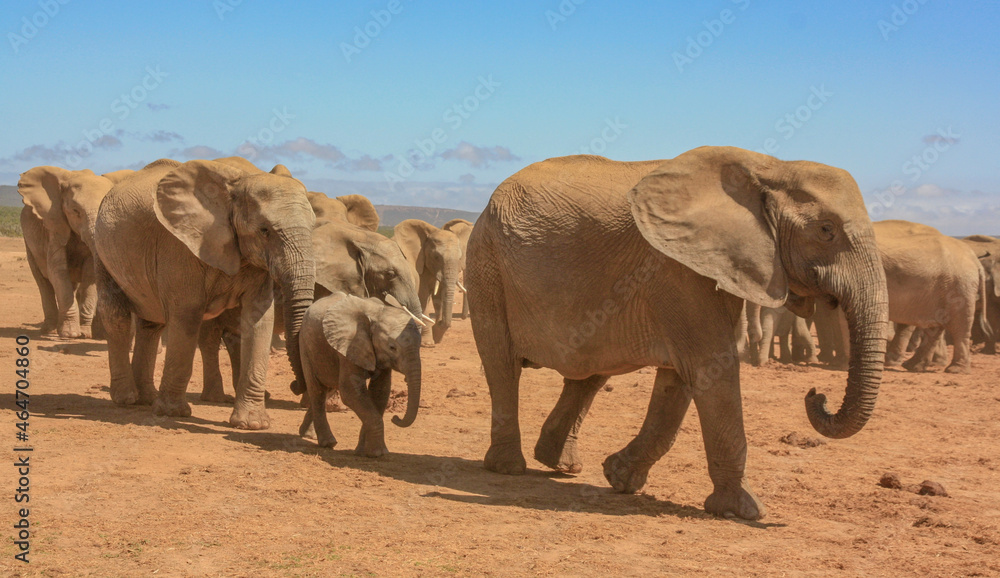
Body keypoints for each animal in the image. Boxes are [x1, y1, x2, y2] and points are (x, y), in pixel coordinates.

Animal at [18, 166, 133, 338]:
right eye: (75, 211)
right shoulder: (54, 225)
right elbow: (57, 270)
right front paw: (69, 334)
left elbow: (90, 274)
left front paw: (85, 334)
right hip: (28, 242)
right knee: (44, 283)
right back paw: (49, 330)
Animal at [93, 158, 316, 429]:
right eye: (264, 230)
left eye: (314, 227)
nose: (295, 386)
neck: (240, 182)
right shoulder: (179, 246)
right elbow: (186, 315)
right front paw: (173, 413)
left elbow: (259, 319)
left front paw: (252, 424)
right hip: (101, 248)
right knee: (116, 315)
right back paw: (126, 398)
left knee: (151, 324)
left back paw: (145, 399)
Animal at [297, 292, 422, 456]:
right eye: (392, 347)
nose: (395, 418)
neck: (378, 314)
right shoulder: (349, 346)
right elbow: (350, 392)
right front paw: (378, 453)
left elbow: (380, 392)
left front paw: (364, 451)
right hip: (306, 345)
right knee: (317, 391)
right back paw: (328, 443)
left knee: (328, 391)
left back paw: (307, 434)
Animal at [467, 148, 889, 521]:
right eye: (826, 230)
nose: (816, 393)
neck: (770, 166)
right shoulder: (677, 270)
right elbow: (710, 366)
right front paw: (743, 511)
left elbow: (681, 379)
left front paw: (619, 478)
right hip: (487, 264)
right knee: (503, 365)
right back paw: (509, 467)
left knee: (588, 375)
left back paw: (562, 466)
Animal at [875, 220, 989, 373]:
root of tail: (975, 261)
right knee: (936, 326)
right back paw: (913, 366)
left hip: (960, 286)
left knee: (959, 326)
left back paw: (954, 370)